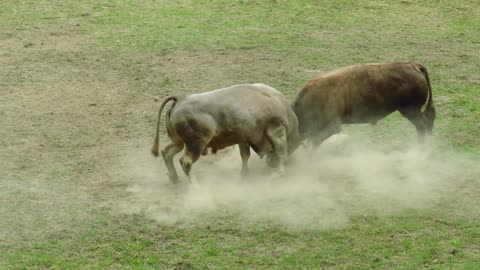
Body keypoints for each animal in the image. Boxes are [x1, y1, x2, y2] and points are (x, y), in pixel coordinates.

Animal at [150, 83, 300, 182]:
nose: (271, 164)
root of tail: (181, 98)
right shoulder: (277, 132)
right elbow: (281, 152)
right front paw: (281, 172)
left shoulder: (243, 140)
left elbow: (245, 156)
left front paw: (244, 174)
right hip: (195, 145)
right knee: (186, 162)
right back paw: (195, 186)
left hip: (178, 142)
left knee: (166, 153)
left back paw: (174, 178)